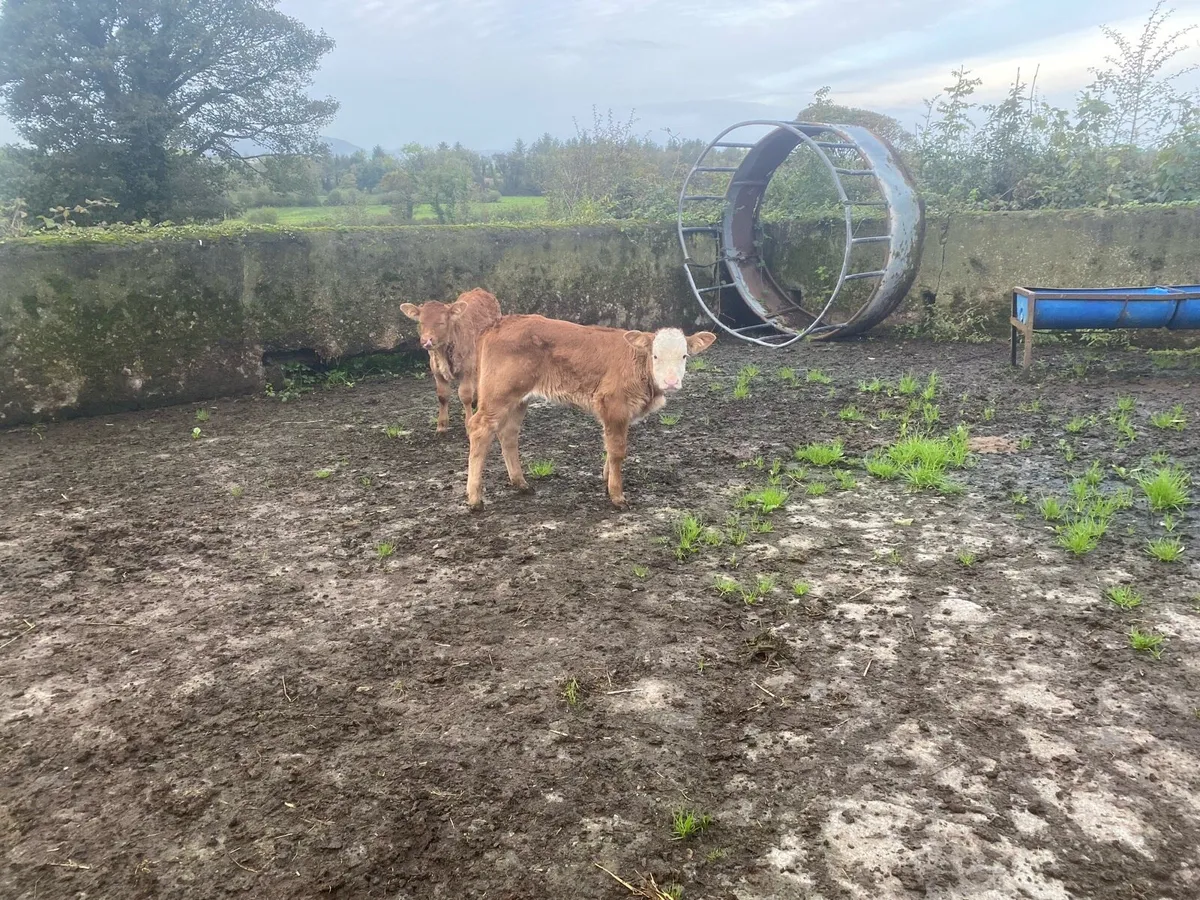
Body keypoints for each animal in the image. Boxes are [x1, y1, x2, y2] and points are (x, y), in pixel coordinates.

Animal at [400, 288, 502, 433]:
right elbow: (442, 396)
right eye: (421, 323)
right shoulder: (436, 370)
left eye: (441, 323)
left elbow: (465, 395)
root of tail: (479, 290)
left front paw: (468, 424)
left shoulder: (467, 368)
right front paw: (442, 425)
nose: (426, 340)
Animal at [465, 314, 717, 510]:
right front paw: (617, 495)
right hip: (498, 394)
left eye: (684, 356)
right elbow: (617, 451)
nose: (671, 382)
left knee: (508, 434)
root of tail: (500, 322)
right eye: (655, 356)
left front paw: (607, 478)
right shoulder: (614, 404)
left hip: (518, 399)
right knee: (479, 429)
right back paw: (475, 498)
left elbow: (610, 447)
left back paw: (520, 483)